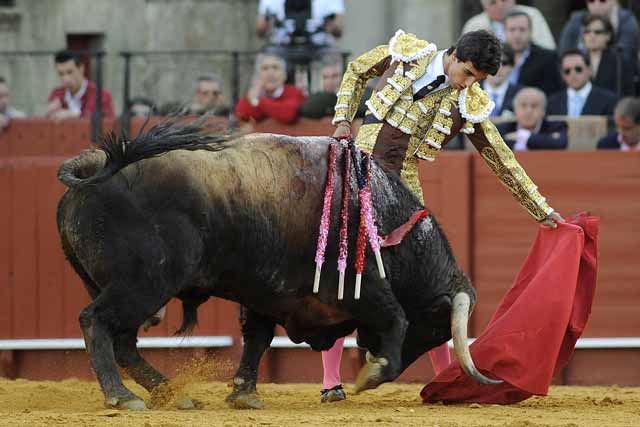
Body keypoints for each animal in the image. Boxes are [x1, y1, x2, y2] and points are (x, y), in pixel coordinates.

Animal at [56, 119, 500, 412]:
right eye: (435, 327)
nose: (373, 353)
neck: (385, 219)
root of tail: (91, 168)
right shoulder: (359, 284)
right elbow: (395, 317)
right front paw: (372, 375)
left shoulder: (267, 291)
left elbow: (257, 337)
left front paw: (244, 393)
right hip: (144, 283)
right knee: (97, 322)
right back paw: (123, 397)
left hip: (125, 287)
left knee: (123, 340)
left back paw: (173, 395)